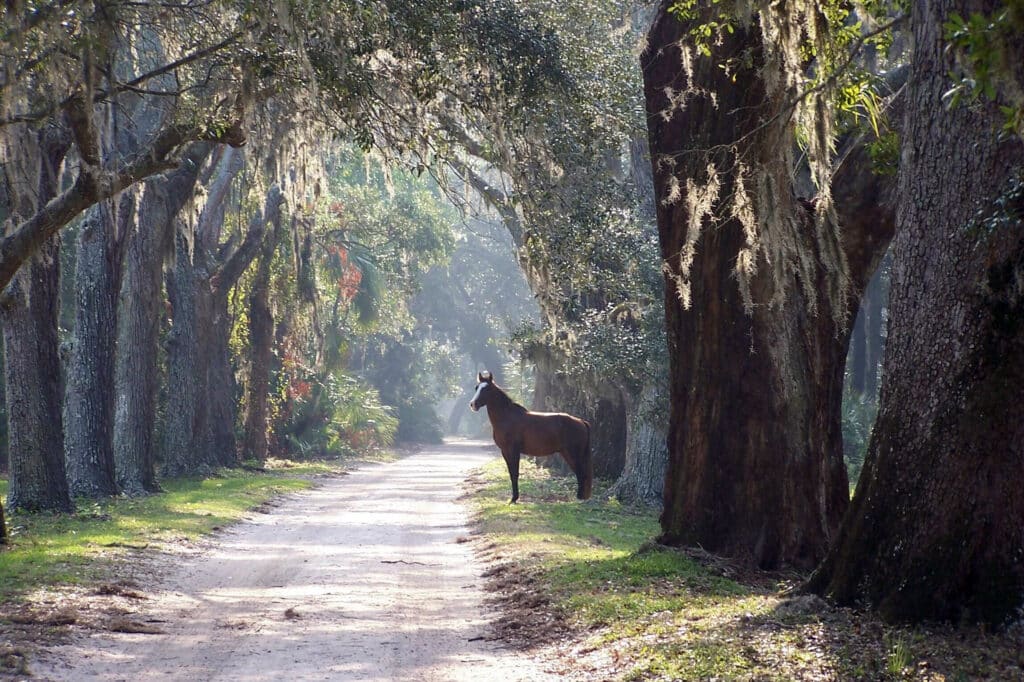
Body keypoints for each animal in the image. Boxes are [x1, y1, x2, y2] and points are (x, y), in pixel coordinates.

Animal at [469, 371, 593, 503]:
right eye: (476, 387)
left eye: (486, 389)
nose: (473, 404)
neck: (507, 417)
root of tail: (581, 422)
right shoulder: (505, 451)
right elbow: (511, 473)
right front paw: (513, 498)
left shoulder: (513, 451)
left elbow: (515, 473)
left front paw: (514, 498)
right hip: (567, 453)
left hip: (573, 453)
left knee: (581, 473)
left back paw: (579, 499)